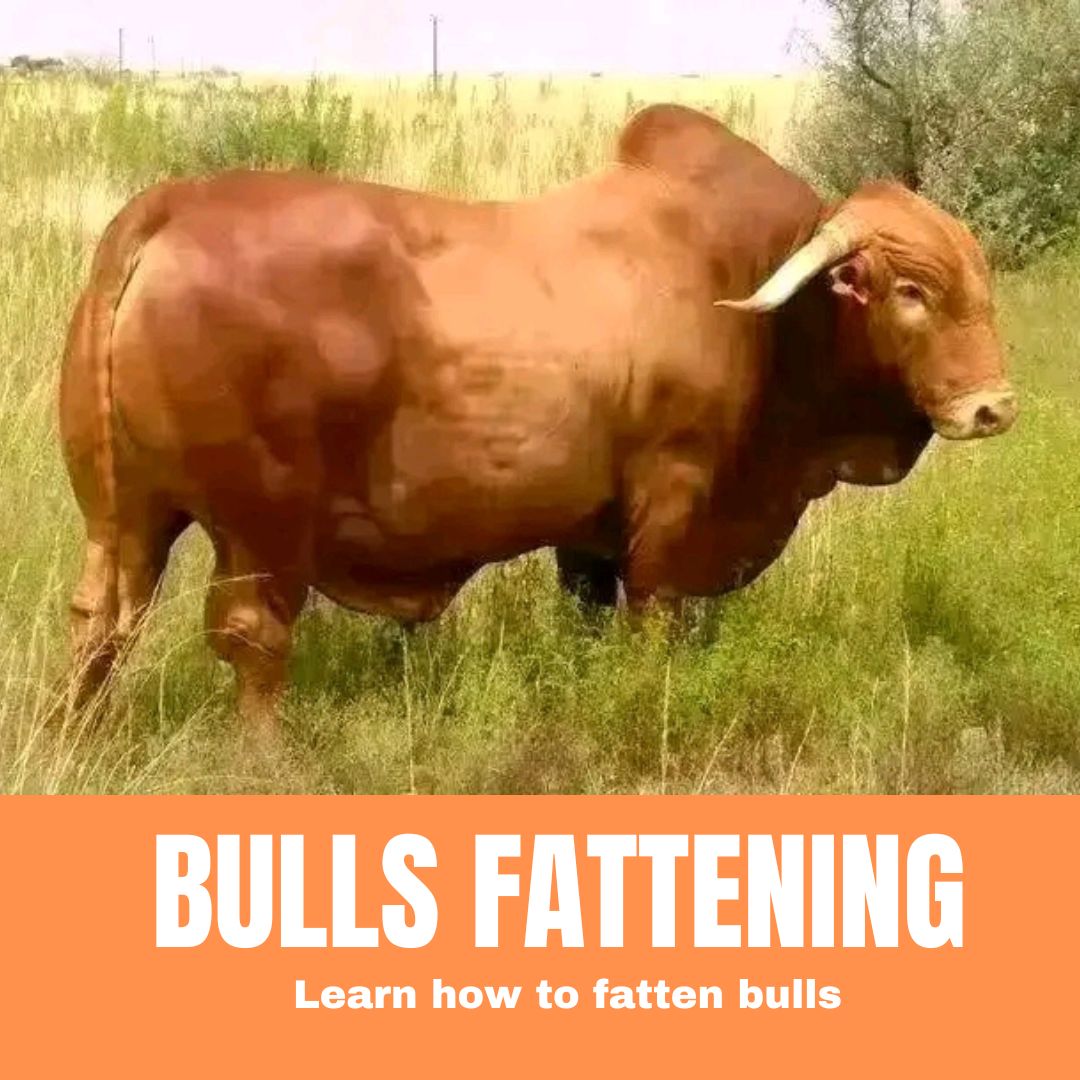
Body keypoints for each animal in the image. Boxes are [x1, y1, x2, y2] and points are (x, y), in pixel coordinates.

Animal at [59, 104, 1017, 735]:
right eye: (911, 290)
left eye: (980, 280)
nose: (994, 406)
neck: (757, 296)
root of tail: (172, 206)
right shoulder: (671, 495)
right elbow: (652, 618)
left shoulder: (588, 528)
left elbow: (587, 614)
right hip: (262, 530)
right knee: (253, 641)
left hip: (124, 517)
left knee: (101, 622)